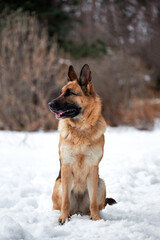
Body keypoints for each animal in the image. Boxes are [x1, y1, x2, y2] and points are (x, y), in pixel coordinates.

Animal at [48, 64, 115, 225]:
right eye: (61, 93)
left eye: (70, 93)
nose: (49, 104)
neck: (81, 130)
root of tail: (78, 210)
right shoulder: (66, 167)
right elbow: (65, 202)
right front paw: (63, 218)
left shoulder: (93, 168)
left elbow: (93, 202)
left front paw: (96, 219)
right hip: (59, 183)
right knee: (60, 204)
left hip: (101, 183)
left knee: (94, 204)